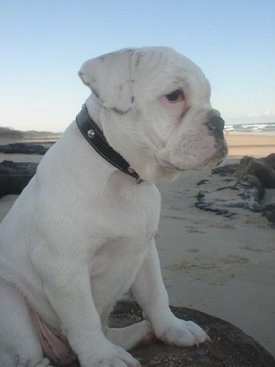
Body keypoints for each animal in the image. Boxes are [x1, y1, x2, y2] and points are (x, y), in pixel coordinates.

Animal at [0, 47, 227, 366]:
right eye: (174, 96)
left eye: (208, 97)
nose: (220, 122)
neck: (121, 173)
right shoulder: (63, 267)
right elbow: (83, 317)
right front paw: (101, 357)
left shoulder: (144, 251)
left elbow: (156, 294)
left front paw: (172, 328)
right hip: (9, 304)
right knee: (30, 356)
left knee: (107, 329)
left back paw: (140, 333)